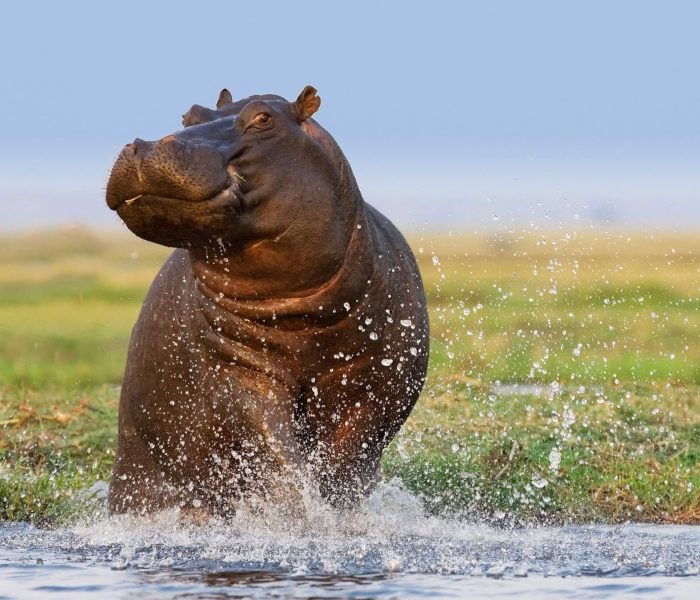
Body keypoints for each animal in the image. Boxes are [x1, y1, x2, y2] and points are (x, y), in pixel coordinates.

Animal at [106, 86, 429, 516]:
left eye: (263, 118)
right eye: (188, 115)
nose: (146, 146)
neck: (304, 317)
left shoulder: (375, 384)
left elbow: (346, 463)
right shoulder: (239, 372)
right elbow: (278, 454)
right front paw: (303, 516)